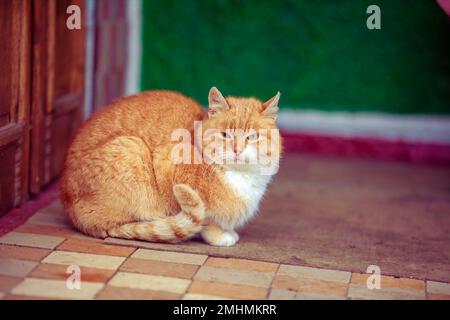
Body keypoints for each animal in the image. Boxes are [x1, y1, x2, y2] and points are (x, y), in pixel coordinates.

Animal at [58, 86, 280, 246]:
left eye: (252, 137)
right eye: (225, 135)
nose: (237, 149)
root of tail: (70, 208)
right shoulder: (167, 165)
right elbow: (206, 218)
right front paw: (220, 236)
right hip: (132, 148)